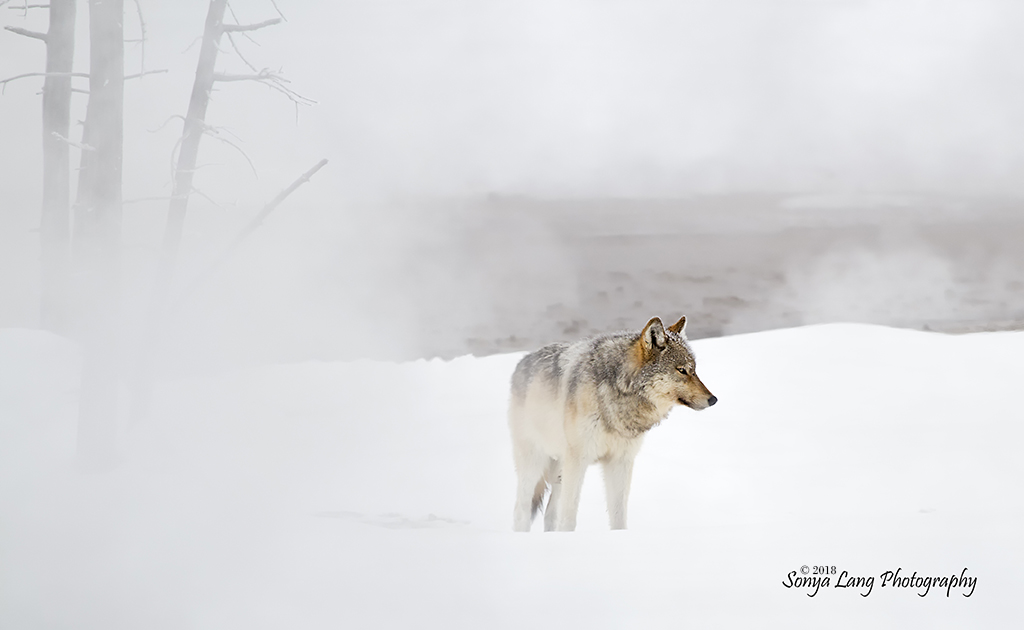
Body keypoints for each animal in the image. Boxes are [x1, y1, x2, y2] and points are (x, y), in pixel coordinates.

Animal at [507, 315, 716, 532]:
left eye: (694, 370)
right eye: (682, 370)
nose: (713, 399)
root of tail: (522, 361)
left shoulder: (620, 461)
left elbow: (618, 517)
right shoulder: (578, 460)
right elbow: (569, 518)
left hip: (559, 470)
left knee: (550, 514)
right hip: (535, 463)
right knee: (521, 510)